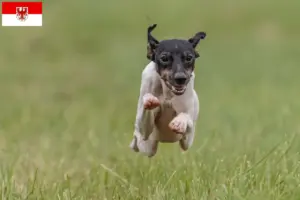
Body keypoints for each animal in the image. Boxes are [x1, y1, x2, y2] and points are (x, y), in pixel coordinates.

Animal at [129, 24, 206, 157]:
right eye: (164, 58)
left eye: (189, 57)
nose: (180, 78)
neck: (168, 94)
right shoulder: (144, 132)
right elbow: (144, 121)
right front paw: (149, 100)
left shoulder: (188, 136)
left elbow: (187, 118)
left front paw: (179, 122)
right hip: (148, 147)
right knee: (138, 141)